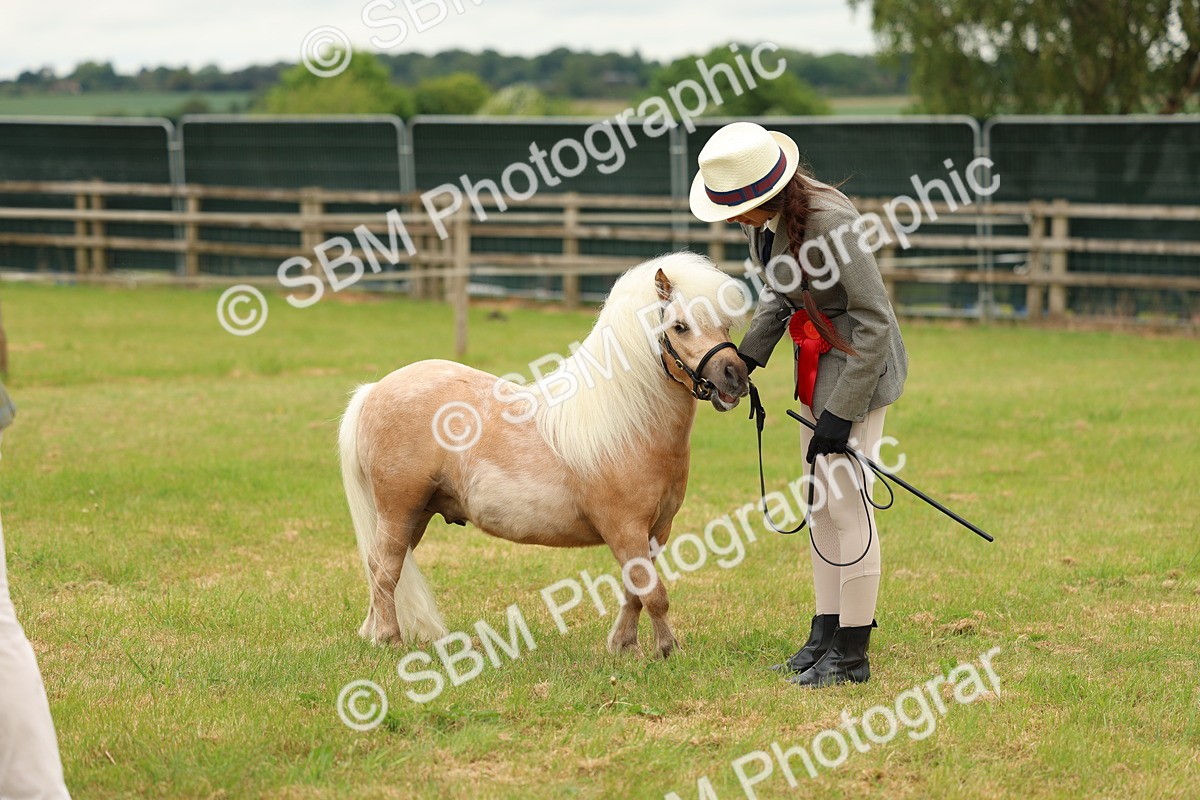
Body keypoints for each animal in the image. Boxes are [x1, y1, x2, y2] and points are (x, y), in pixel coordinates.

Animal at [338, 251, 751, 658]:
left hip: (418, 512)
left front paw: (624, 645)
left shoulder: (656, 532)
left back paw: (372, 632)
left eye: (726, 324)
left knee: (384, 566)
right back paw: (389, 638)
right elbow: (653, 593)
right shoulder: (626, 530)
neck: (627, 426)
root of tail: (375, 390)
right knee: (385, 567)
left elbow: (634, 592)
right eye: (679, 326)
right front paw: (668, 650)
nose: (735, 375)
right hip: (399, 508)